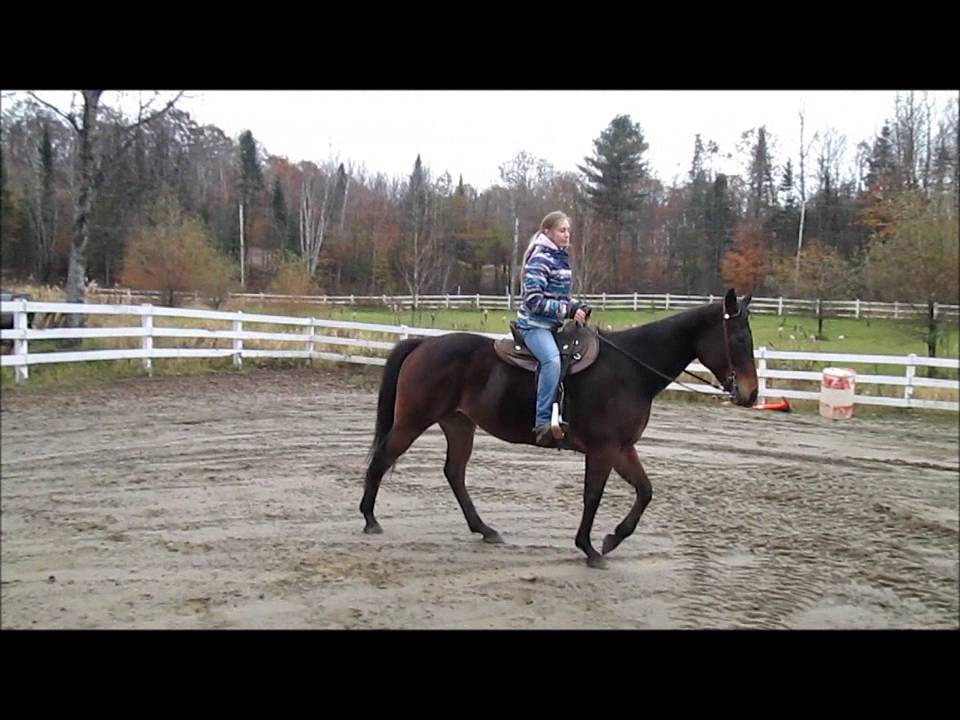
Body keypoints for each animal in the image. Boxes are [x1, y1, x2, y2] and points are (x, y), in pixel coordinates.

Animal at [361, 288, 758, 568]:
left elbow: (645, 491)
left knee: (454, 473)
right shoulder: (603, 449)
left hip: (459, 425)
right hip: (413, 420)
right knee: (382, 459)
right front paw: (590, 548)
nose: (751, 394)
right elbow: (593, 496)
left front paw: (612, 539)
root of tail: (424, 344)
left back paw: (485, 530)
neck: (630, 369)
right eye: (739, 339)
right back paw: (369, 519)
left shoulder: (622, 448)